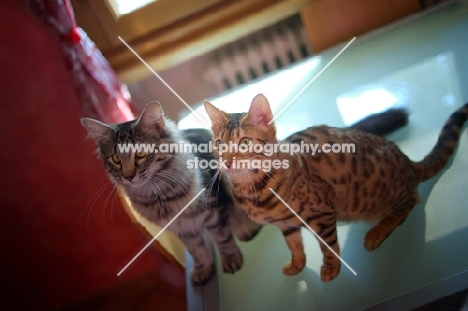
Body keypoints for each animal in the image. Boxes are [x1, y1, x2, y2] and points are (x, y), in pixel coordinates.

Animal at [82, 102, 262, 286]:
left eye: (140, 153)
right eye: (116, 159)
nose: (128, 177)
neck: (160, 196)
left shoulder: (214, 211)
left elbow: (223, 239)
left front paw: (230, 260)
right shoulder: (183, 229)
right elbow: (197, 251)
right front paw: (203, 269)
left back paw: (246, 228)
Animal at [205, 94, 468, 282]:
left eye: (244, 142)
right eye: (219, 144)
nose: (226, 162)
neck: (254, 190)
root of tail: (407, 161)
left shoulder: (321, 215)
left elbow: (328, 246)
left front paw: (331, 268)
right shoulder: (286, 226)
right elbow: (294, 246)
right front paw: (297, 264)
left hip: (385, 196)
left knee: (410, 202)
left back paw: (377, 231)